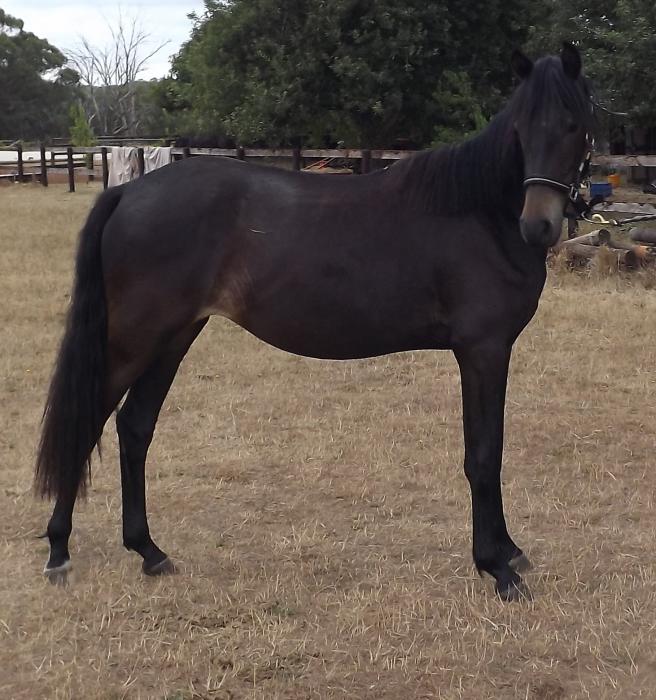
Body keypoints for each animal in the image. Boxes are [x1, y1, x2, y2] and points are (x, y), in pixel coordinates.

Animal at [36, 44, 595, 601]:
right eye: (521, 126)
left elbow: (489, 449)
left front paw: (510, 553)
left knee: (135, 426)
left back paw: (149, 552)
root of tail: (127, 194)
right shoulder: (483, 350)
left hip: (173, 337)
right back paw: (59, 550)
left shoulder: (488, 351)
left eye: (573, 124)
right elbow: (484, 454)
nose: (538, 225)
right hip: (136, 340)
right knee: (89, 421)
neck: (480, 214)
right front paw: (497, 568)